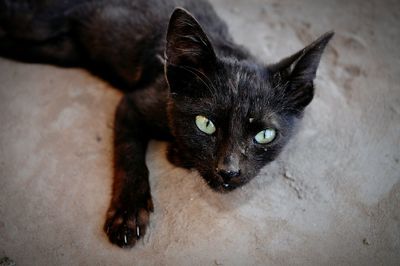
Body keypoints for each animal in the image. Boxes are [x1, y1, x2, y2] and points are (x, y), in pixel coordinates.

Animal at [0, 0, 332, 247]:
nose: (228, 171)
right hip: (33, 22)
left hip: (62, 50)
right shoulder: (133, 104)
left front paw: (177, 154)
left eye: (265, 135)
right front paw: (128, 213)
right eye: (205, 124)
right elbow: (130, 154)